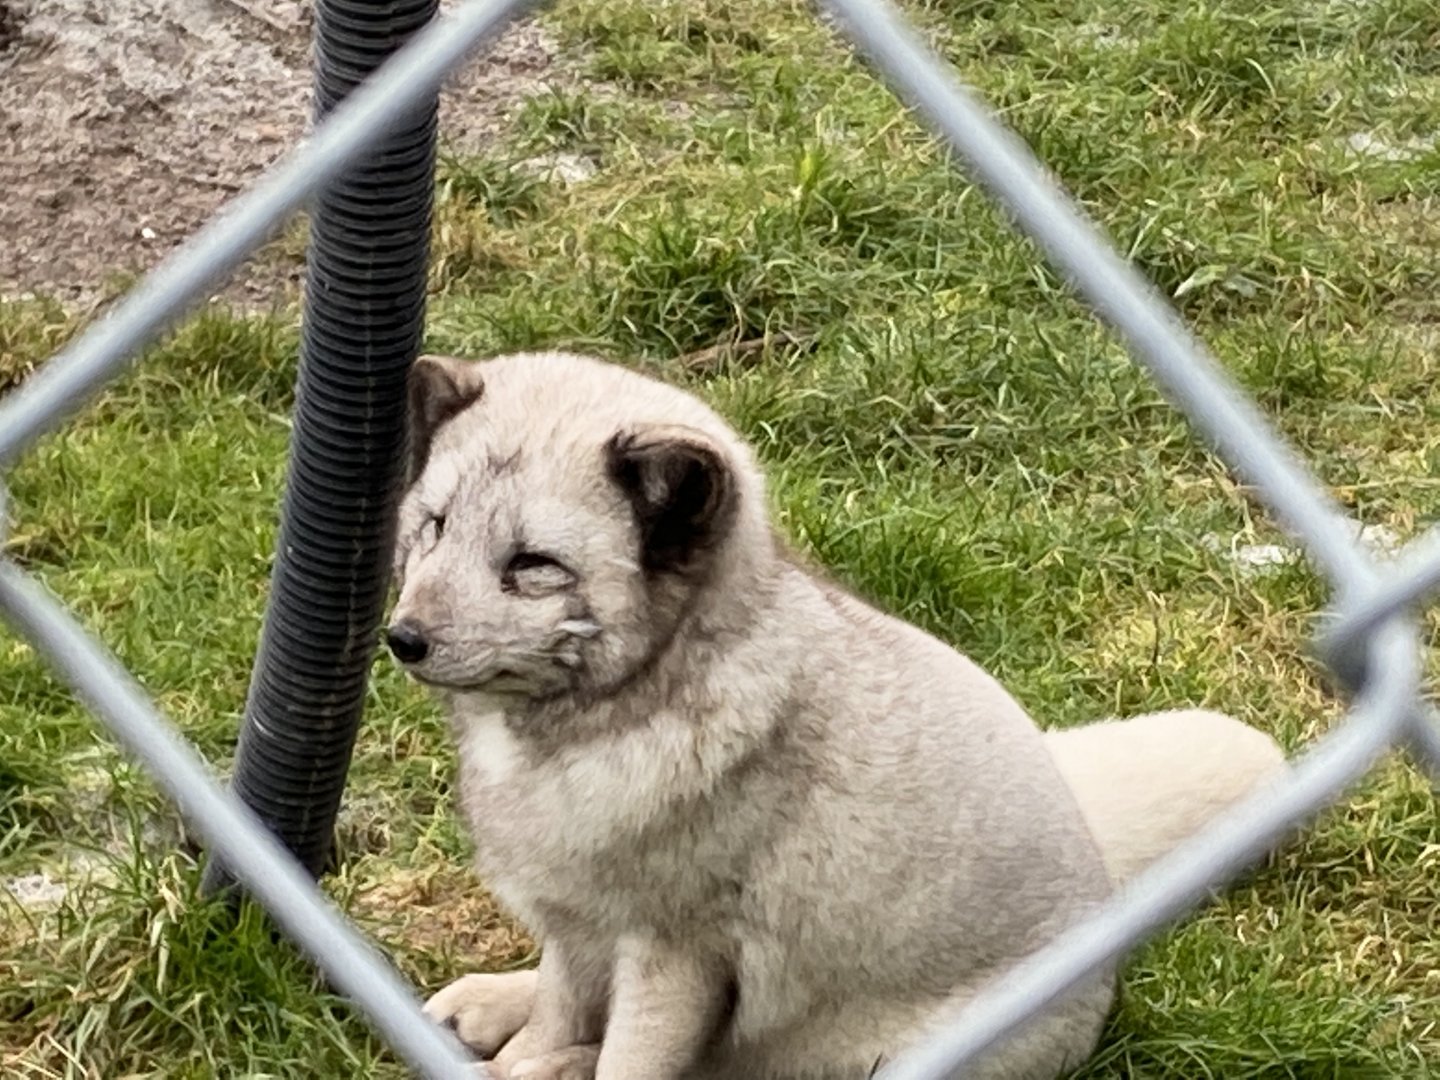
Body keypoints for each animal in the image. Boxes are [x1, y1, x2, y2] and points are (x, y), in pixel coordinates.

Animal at [386, 351, 1288, 1080]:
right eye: (434, 527)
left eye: (533, 566)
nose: (402, 639)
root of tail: (1100, 873)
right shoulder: (575, 923)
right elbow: (561, 1006)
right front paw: (526, 1037)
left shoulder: (676, 954)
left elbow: (627, 1061)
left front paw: (545, 1062)